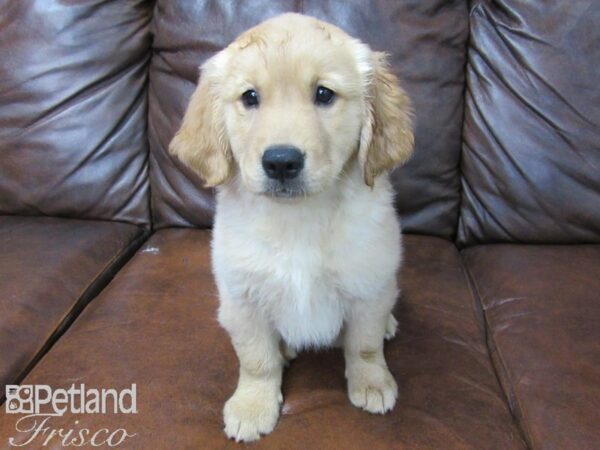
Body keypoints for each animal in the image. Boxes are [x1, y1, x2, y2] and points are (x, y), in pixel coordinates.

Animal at [169, 12, 412, 442]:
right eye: (250, 97)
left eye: (324, 94)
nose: (281, 162)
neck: (299, 218)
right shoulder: (242, 299)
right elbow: (255, 360)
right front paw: (253, 405)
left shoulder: (369, 284)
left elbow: (364, 345)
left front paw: (371, 383)